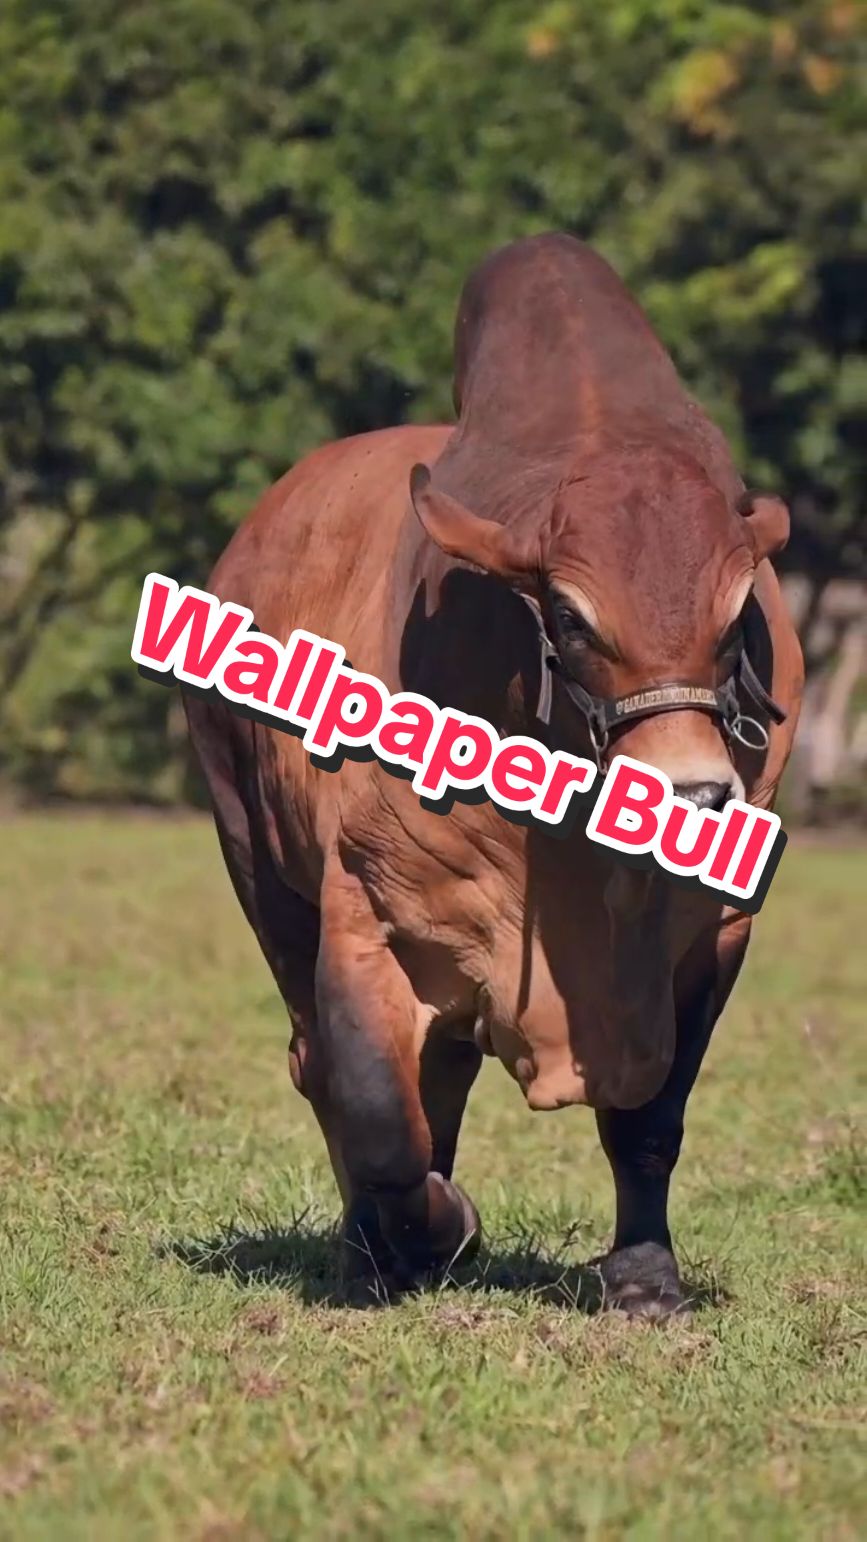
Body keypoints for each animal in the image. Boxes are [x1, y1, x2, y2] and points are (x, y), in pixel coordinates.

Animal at [184, 234, 803, 1316]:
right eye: (566, 616)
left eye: (736, 621)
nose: (693, 794)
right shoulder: (365, 911)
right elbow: (378, 1118)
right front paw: (433, 1232)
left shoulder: (714, 936)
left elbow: (648, 1120)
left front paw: (644, 1279)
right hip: (257, 863)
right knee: (329, 1069)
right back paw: (377, 1248)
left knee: (445, 1077)